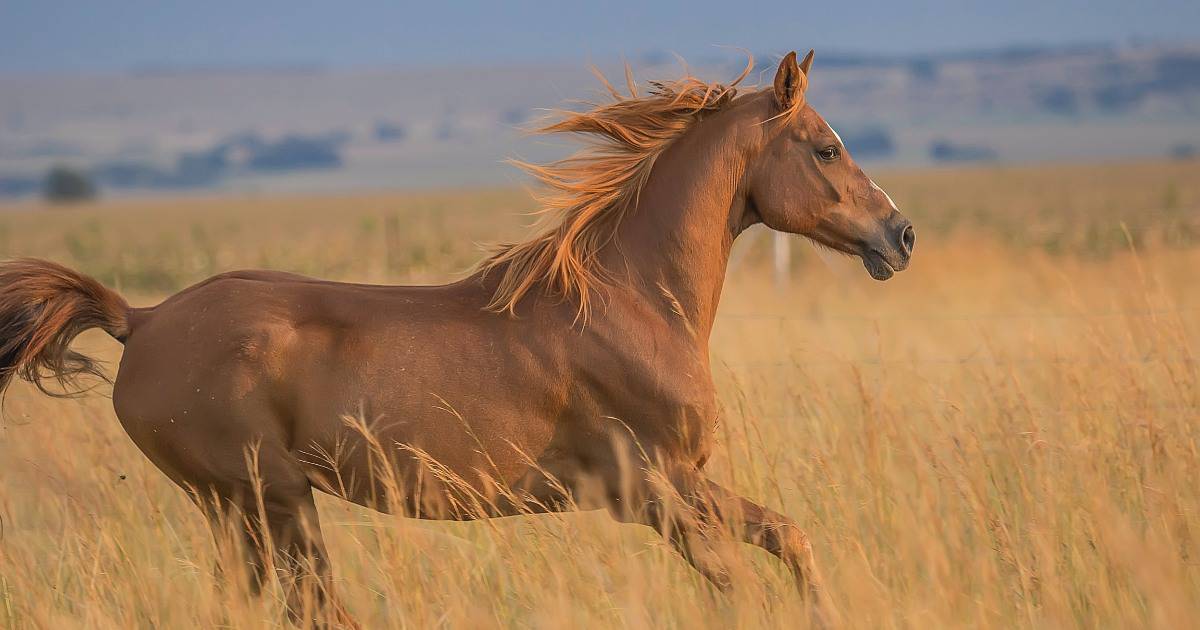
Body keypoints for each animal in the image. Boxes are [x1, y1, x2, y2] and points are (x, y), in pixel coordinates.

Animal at [0, 51, 907, 624]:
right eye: (827, 148)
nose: (899, 235)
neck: (631, 301)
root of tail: (143, 320)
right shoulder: (651, 490)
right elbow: (738, 585)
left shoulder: (683, 483)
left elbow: (790, 538)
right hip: (268, 499)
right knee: (312, 607)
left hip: (241, 511)